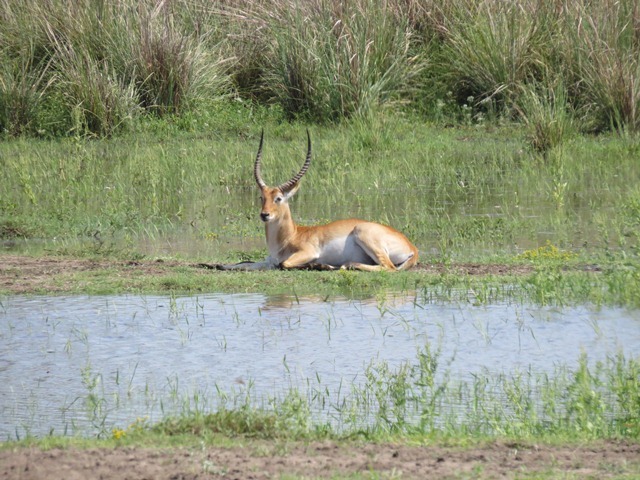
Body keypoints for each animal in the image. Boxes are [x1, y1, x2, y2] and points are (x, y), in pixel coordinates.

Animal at [220, 131, 420, 272]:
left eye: (278, 198)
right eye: (262, 197)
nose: (264, 215)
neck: (291, 235)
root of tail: (412, 247)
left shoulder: (308, 252)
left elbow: (284, 264)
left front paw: (322, 265)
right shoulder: (268, 260)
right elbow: (241, 264)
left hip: (364, 234)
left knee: (389, 267)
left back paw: (346, 265)